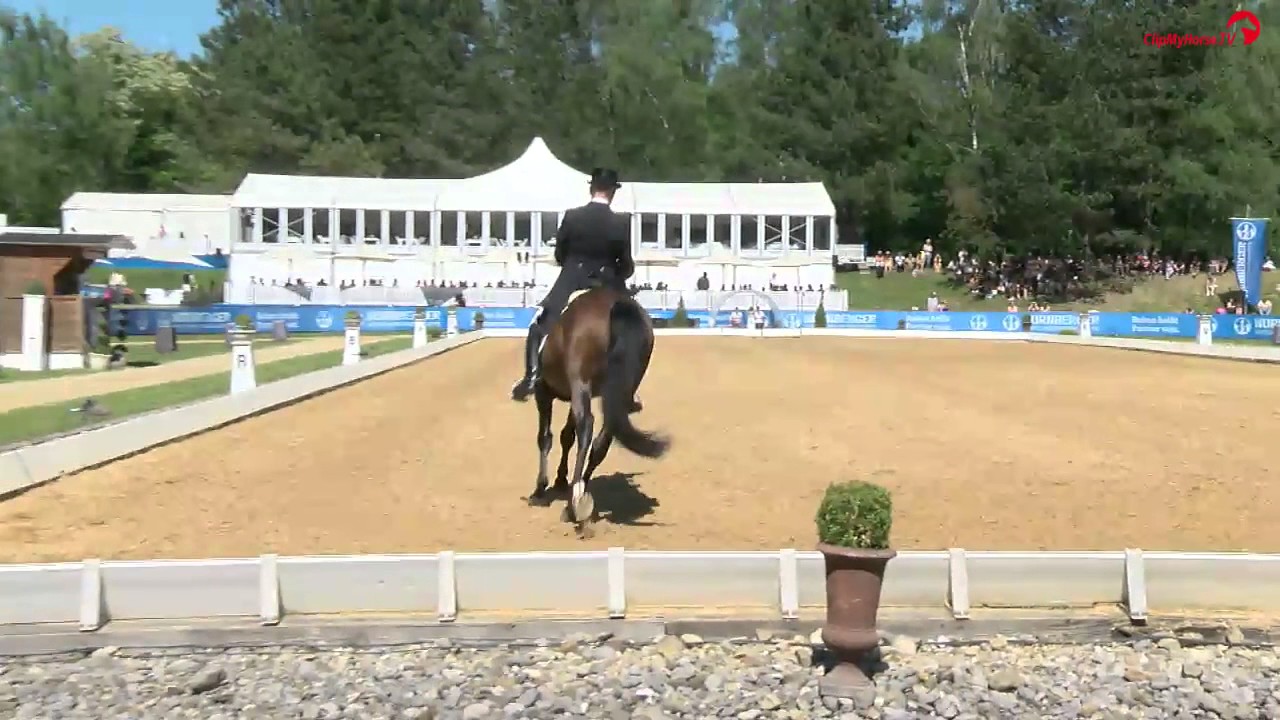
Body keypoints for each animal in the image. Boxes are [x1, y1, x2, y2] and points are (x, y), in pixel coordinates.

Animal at [526, 286, 670, 537]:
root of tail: (618, 305)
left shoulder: (544, 392)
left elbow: (546, 438)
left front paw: (540, 489)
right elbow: (566, 436)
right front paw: (561, 480)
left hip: (579, 383)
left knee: (586, 428)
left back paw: (573, 507)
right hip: (615, 391)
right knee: (602, 440)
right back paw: (577, 499)